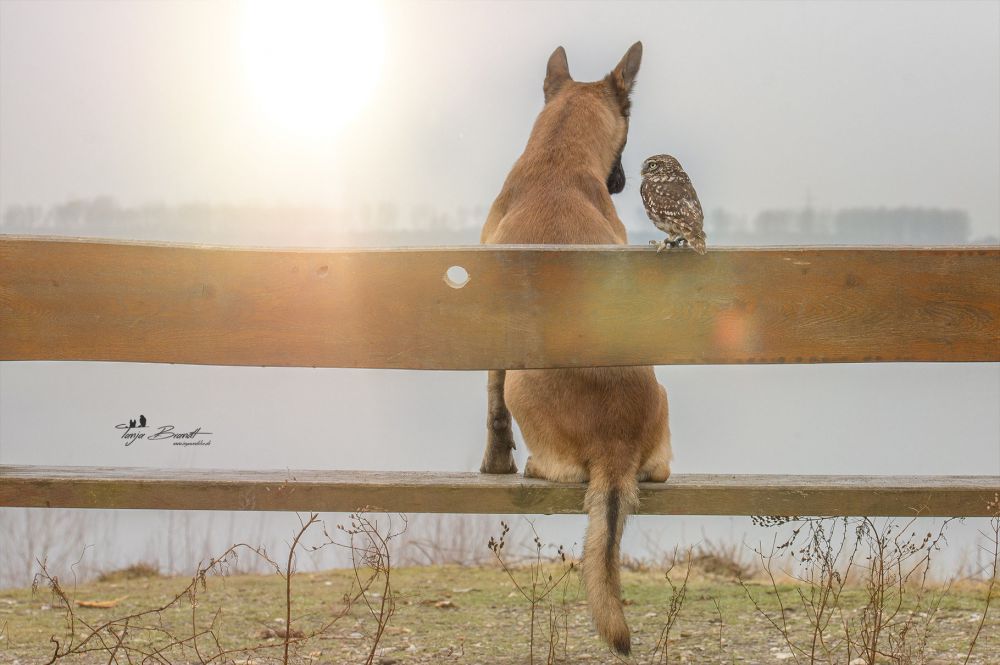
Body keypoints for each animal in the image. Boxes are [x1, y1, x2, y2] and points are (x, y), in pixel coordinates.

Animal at [478, 42, 672, 652]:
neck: (557, 160)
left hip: (524, 385)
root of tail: (614, 444)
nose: (622, 181)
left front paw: (495, 463)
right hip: (663, 395)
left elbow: (492, 413)